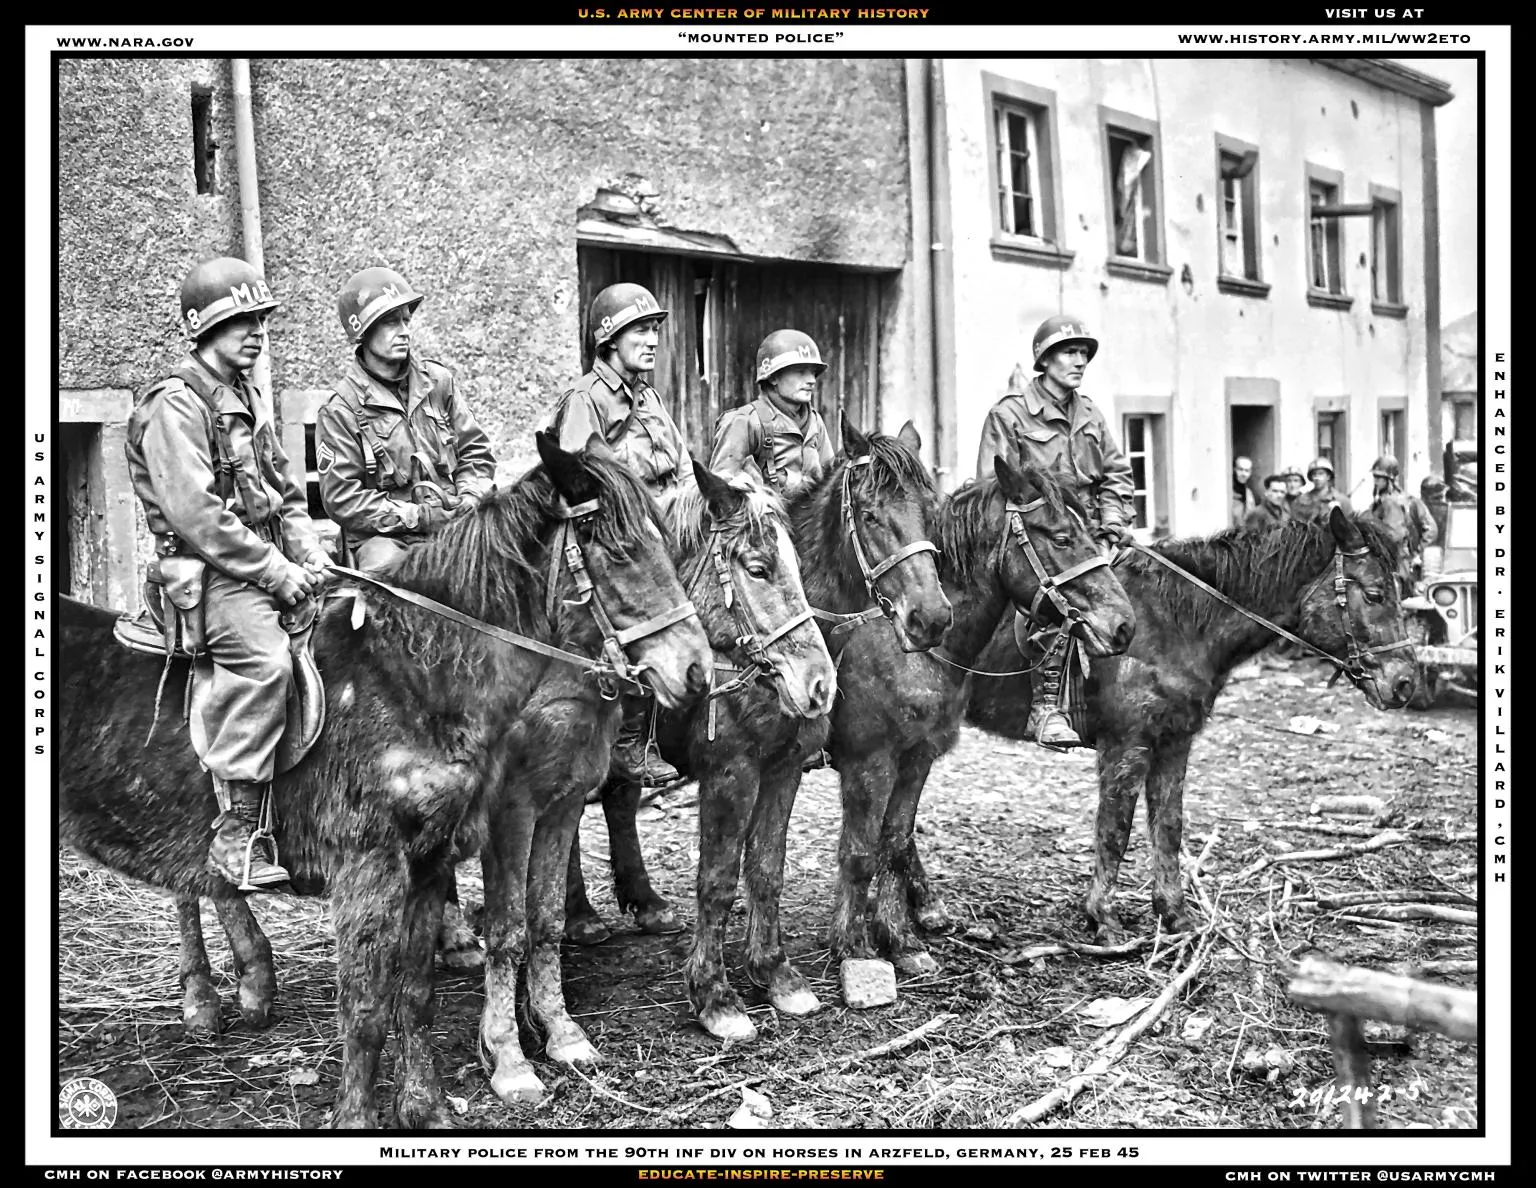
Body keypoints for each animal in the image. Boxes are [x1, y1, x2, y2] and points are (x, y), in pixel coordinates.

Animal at [58, 433, 713, 1130]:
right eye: (617, 549)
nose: (696, 670)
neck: (412, 679)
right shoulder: (371, 869)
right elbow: (367, 1009)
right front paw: (358, 1118)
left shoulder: (430, 862)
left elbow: (417, 992)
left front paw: (426, 1110)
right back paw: (207, 997)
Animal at [475, 460, 837, 1103]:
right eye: (757, 568)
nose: (819, 686)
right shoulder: (731, 774)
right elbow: (718, 881)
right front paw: (716, 1000)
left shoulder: (784, 771)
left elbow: (767, 872)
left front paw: (778, 977)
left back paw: (623, 906)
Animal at [824, 459, 1136, 976]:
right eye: (1061, 537)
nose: (1124, 625)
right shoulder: (868, 762)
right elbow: (860, 851)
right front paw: (854, 947)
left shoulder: (918, 756)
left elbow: (895, 841)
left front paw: (901, 939)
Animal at [966, 506, 1419, 944]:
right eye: (1375, 594)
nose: (1404, 682)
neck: (1171, 622)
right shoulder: (1127, 744)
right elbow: (1115, 828)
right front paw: (1103, 918)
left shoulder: (1174, 740)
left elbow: (1168, 826)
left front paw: (1174, 913)